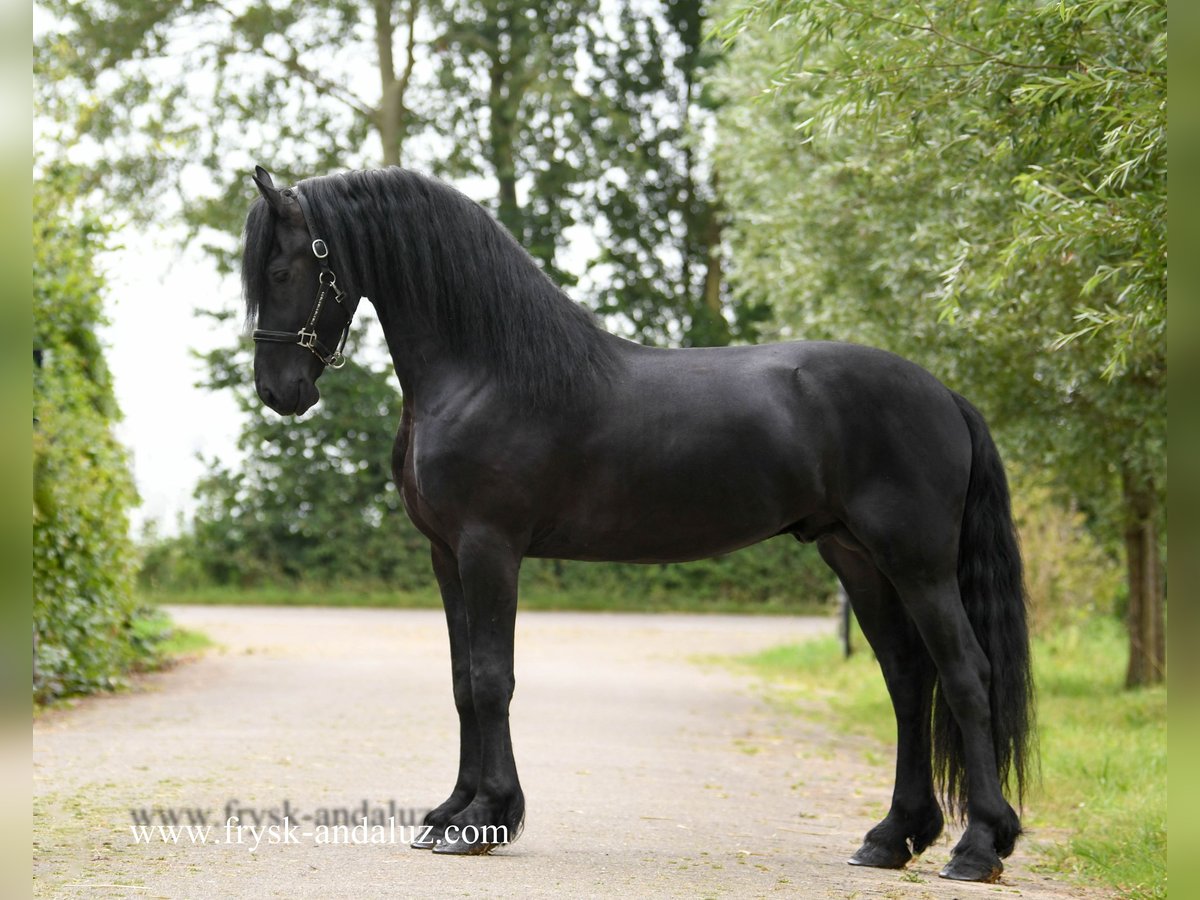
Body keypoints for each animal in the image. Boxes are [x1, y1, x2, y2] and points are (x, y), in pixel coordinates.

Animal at [241, 165, 1032, 883]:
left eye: (281, 268)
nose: (280, 393)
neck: (486, 371)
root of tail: (943, 395)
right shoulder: (446, 556)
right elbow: (464, 681)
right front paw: (452, 813)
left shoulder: (489, 549)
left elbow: (493, 679)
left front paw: (486, 820)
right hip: (857, 558)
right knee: (907, 678)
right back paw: (891, 837)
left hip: (917, 561)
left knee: (965, 675)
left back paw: (976, 848)